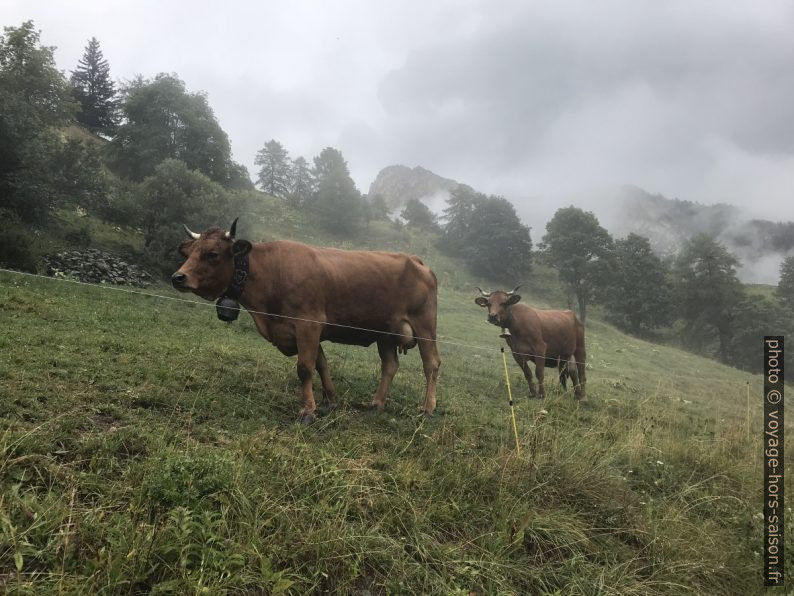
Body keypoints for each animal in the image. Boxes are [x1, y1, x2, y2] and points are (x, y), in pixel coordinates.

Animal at [172, 219, 440, 424]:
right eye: (191, 251)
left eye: (213, 254)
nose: (178, 277)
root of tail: (417, 260)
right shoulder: (306, 330)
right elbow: (321, 364)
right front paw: (330, 400)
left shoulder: (308, 324)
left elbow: (305, 367)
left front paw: (308, 411)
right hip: (386, 333)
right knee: (390, 365)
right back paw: (376, 403)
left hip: (425, 326)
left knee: (431, 364)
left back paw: (427, 409)